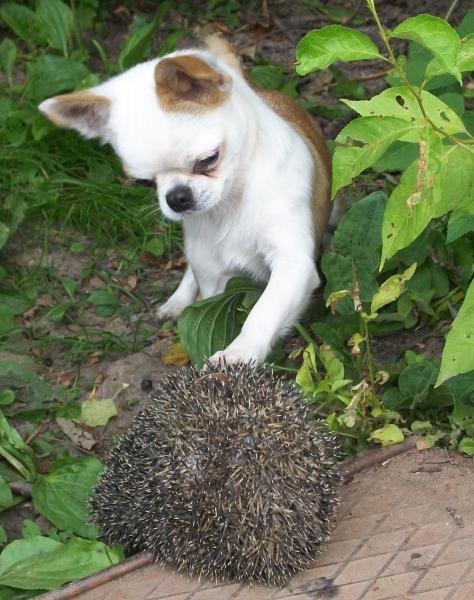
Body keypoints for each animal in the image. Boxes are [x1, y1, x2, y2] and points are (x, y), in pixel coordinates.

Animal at [39, 36, 332, 365]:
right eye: (144, 182)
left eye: (208, 160)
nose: (177, 198)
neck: (232, 202)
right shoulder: (213, 271)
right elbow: (212, 303)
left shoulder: (293, 263)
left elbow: (264, 310)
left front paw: (239, 353)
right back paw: (177, 301)